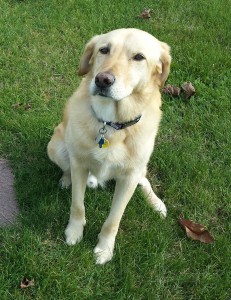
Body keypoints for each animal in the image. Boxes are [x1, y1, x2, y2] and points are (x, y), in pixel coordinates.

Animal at [47, 27, 171, 262]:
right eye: (104, 50)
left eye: (139, 57)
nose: (103, 80)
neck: (111, 125)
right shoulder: (79, 164)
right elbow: (77, 205)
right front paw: (74, 233)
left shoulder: (129, 177)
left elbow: (113, 220)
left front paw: (105, 249)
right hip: (55, 146)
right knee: (67, 167)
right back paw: (65, 180)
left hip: (140, 166)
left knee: (144, 181)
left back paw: (157, 204)